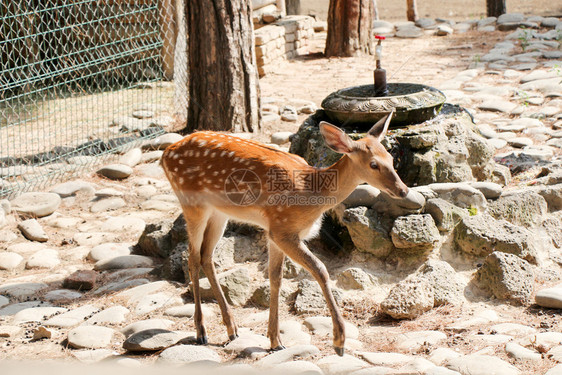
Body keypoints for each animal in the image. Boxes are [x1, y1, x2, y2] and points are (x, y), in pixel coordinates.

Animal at [161, 111, 406, 356]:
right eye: (373, 164)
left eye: (391, 158)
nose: (403, 190)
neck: (312, 193)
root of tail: (165, 154)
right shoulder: (283, 229)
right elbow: (321, 270)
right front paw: (339, 342)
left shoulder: (274, 231)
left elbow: (275, 278)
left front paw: (274, 340)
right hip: (192, 203)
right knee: (192, 258)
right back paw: (201, 332)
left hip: (219, 213)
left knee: (206, 256)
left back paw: (232, 329)